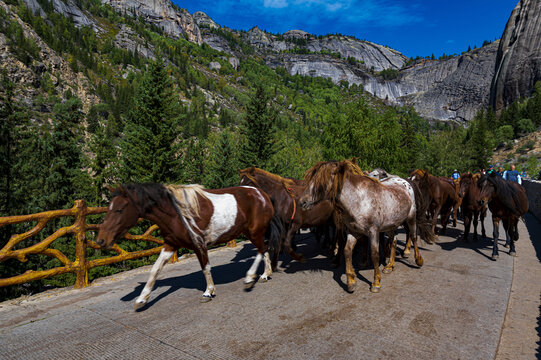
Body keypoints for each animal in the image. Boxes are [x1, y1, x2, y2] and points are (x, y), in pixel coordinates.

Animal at [96, 184, 274, 308]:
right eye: (109, 209)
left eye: (119, 210)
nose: (101, 241)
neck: (177, 214)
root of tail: (262, 194)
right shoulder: (170, 245)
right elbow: (155, 270)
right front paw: (142, 299)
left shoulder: (199, 244)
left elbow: (205, 268)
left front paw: (208, 292)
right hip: (252, 232)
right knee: (264, 249)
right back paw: (265, 274)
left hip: (254, 232)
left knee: (261, 249)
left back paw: (250, 277)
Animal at [298, 160, 428, 292]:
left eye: (321, 181)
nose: (302, 202)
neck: (360, 201)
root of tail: (404, 181)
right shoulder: (353, 232)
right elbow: (347, 251)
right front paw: (351, 281)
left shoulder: (374, 232)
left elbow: (374, 255)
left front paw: (376, 283)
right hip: (392, 224)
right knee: (393, 241)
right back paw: (389, 266)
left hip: (411, 218)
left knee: (413, 236)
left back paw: (418, 260)